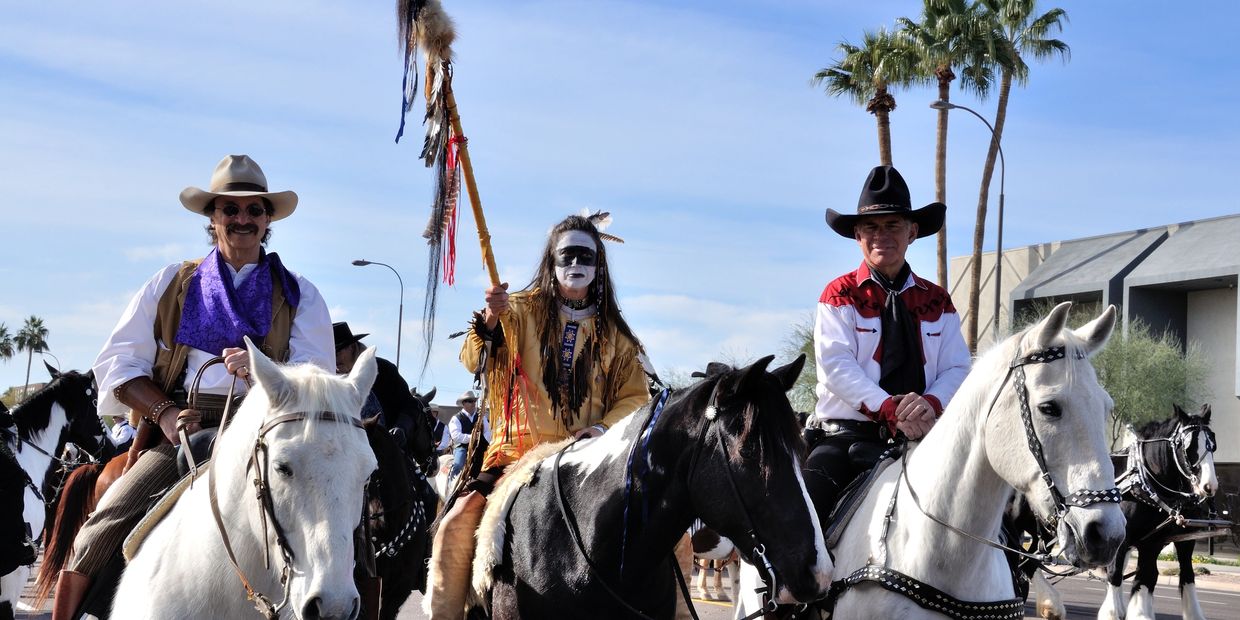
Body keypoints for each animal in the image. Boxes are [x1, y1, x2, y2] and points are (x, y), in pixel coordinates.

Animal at [1101, 404, 1225, 617]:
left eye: (1213, 444)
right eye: (1187, 447)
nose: (1210, 486)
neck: (1142, 485)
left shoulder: (1161, 541)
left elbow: (1154, 577)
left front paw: (1140, 613)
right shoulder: (1121, 539)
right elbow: (1115, 575)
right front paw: (1113, 613)